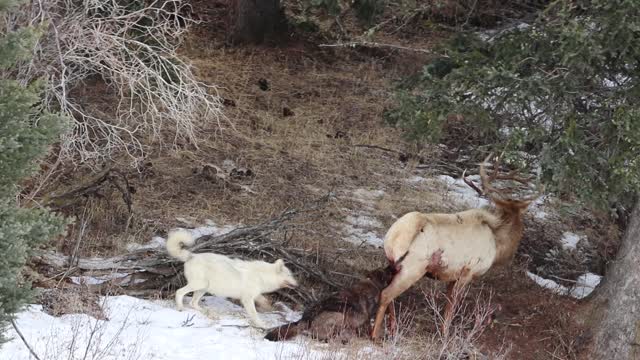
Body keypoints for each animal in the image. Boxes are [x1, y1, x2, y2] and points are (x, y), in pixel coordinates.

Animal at [164, 229, 296, 328]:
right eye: (289, 275)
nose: (297, 284)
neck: (262, 276)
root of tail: (192, 255)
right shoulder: (247, 299)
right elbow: (254, 314)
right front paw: (262, 325)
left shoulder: (255, 295)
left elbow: (264, 301)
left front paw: (269, 307)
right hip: (199, 285)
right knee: (179, 292)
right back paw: (180, 308)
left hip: (203, 289)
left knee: (193, 303)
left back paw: (209, 313)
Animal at [370, 155, 540, 340]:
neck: (497, 245)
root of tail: (395, 236)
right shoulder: (468, 271)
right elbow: (452, 305)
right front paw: (445, 334)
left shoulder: (452, 274)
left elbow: (447, 303)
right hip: (413, 268)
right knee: (386, 294)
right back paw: (375, 335)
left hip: (393, 264)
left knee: (389, 294)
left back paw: (393, 328)